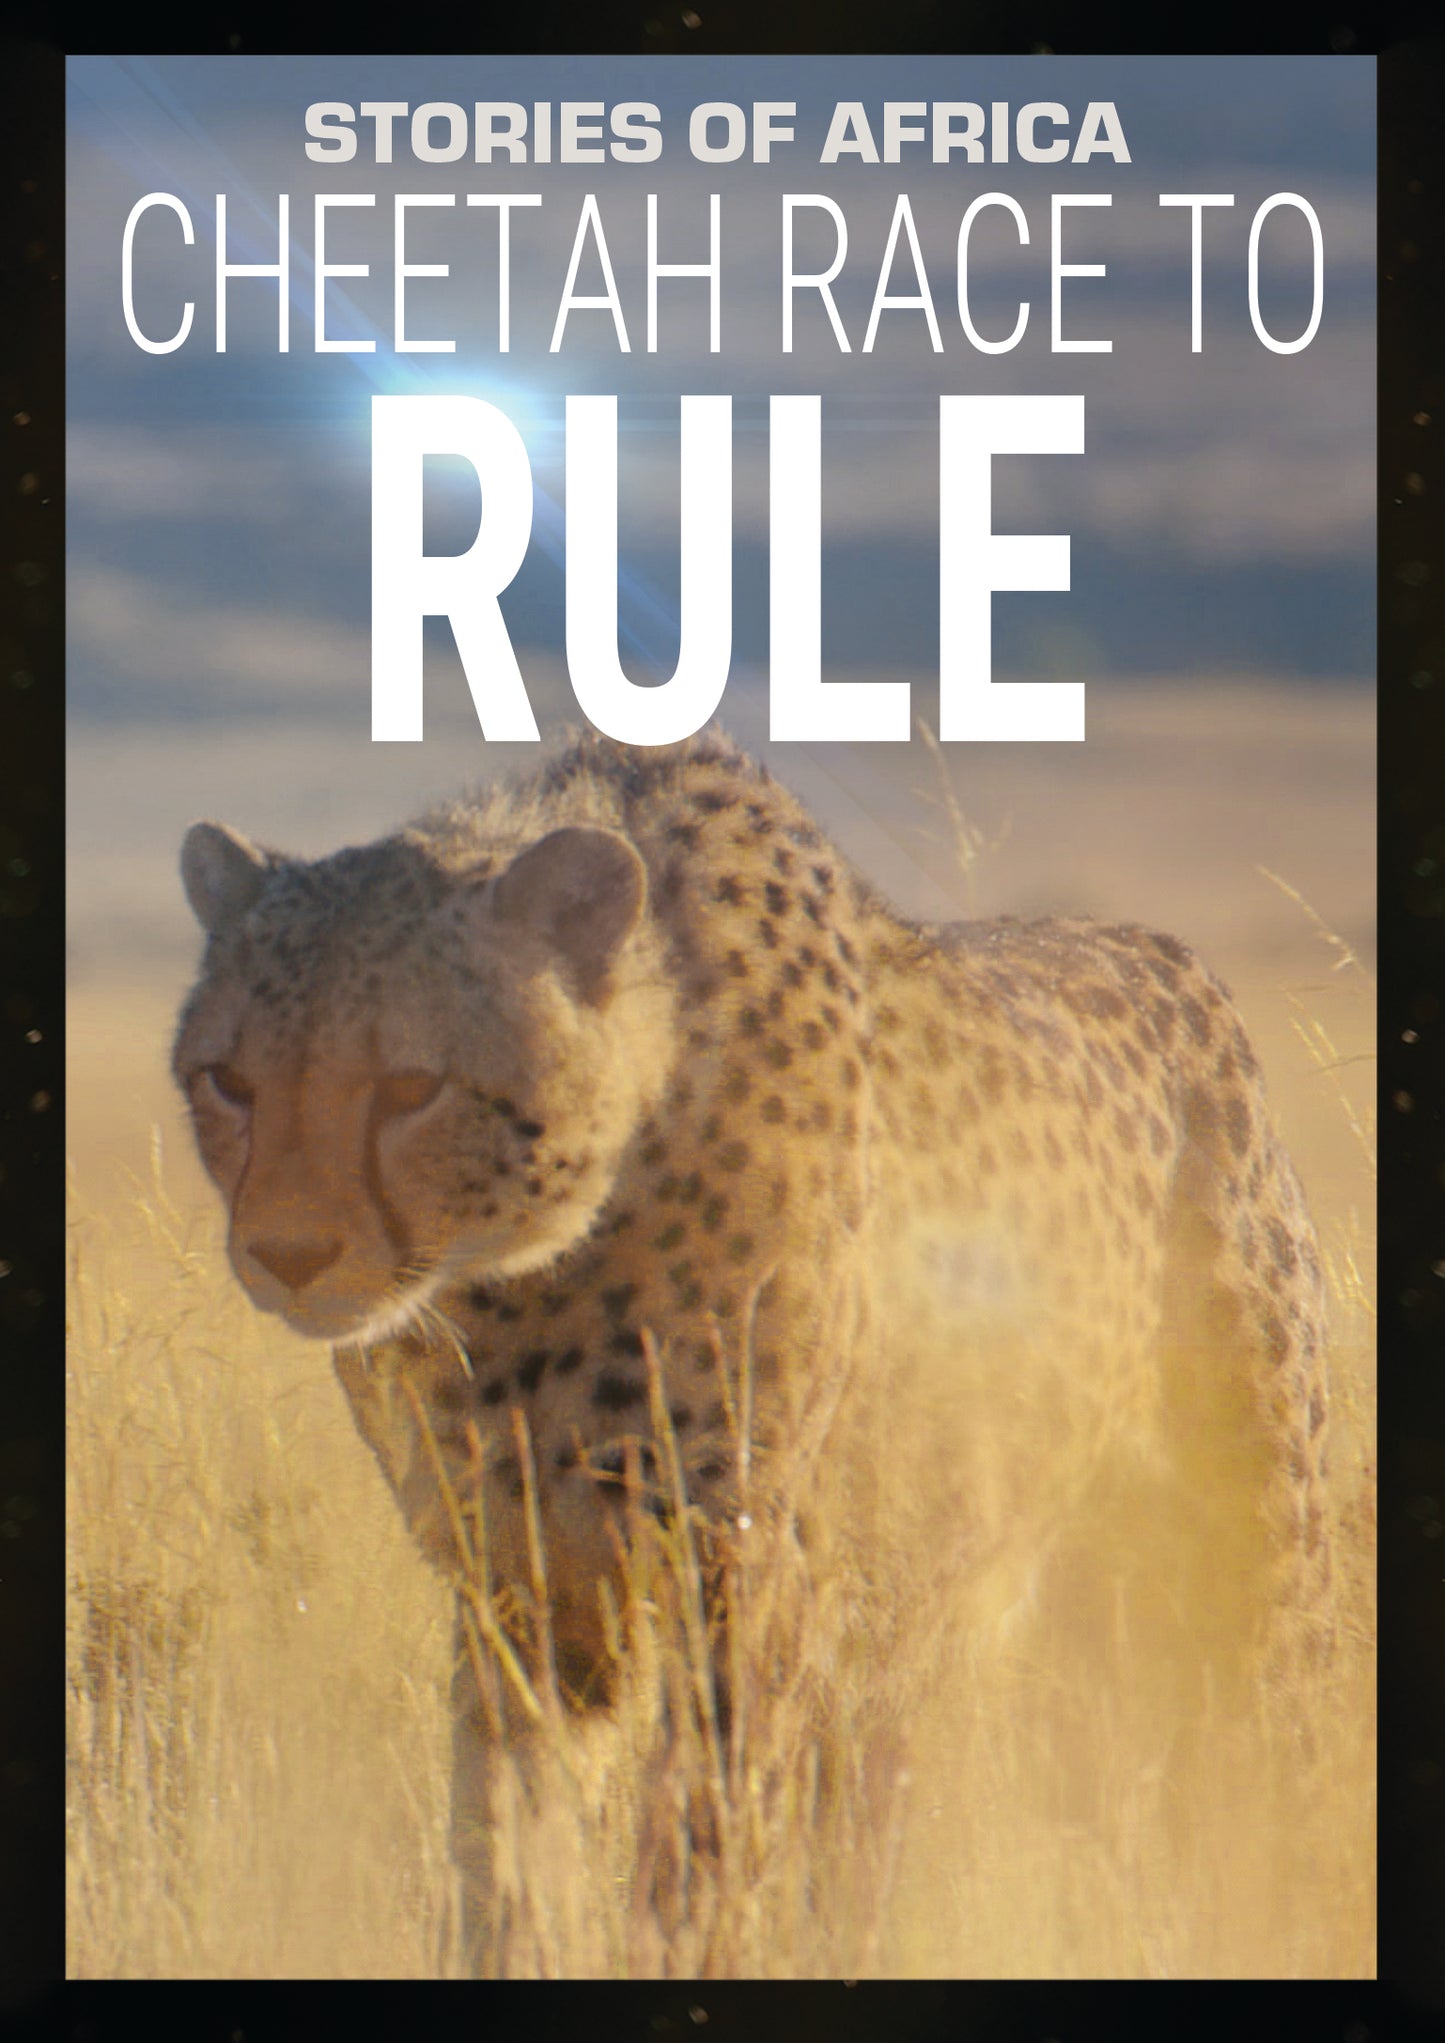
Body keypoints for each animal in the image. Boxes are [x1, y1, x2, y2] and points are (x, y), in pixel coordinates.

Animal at [173, 727, 1333, 1971]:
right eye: (228, 1081)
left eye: (409, 1087)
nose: (287, 1254)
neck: (533, 1273)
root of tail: (1168, 954)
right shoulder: (521, 1584)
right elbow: (507, 1830)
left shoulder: (740, 1562)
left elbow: (696, 1832)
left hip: (1243, 1574)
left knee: (1270, 1782)